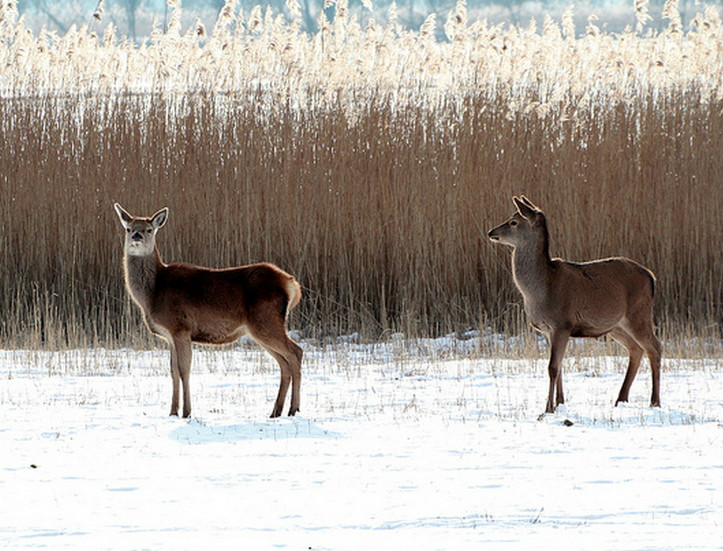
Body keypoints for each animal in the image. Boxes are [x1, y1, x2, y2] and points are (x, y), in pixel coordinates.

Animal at [112, 203, 302, 418]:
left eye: (149, 229)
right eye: (128, 228)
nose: (136, 236)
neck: (153, 294)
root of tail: (292, 285)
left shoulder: (181, 327)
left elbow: (184, 370)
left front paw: (186, 412)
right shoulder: (169, 336)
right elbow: (173, 371)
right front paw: (172, 412)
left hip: (266, 321)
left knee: (295, 352)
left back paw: (293, 409)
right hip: (261, 328)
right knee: (284, 362)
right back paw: (276, 411)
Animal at [486, 196, 660, 416]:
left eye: (513, 222)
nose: (491, 232)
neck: (541, 290)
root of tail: (651, 277)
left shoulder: (562, 324)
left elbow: (552, 367)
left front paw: (547, 409)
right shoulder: (548, 330)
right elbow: (559, 365)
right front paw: (559, 403)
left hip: (639, 314)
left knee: (655, 347)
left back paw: (654, 401)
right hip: (615, 325)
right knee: (636, 349)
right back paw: (621, 399)